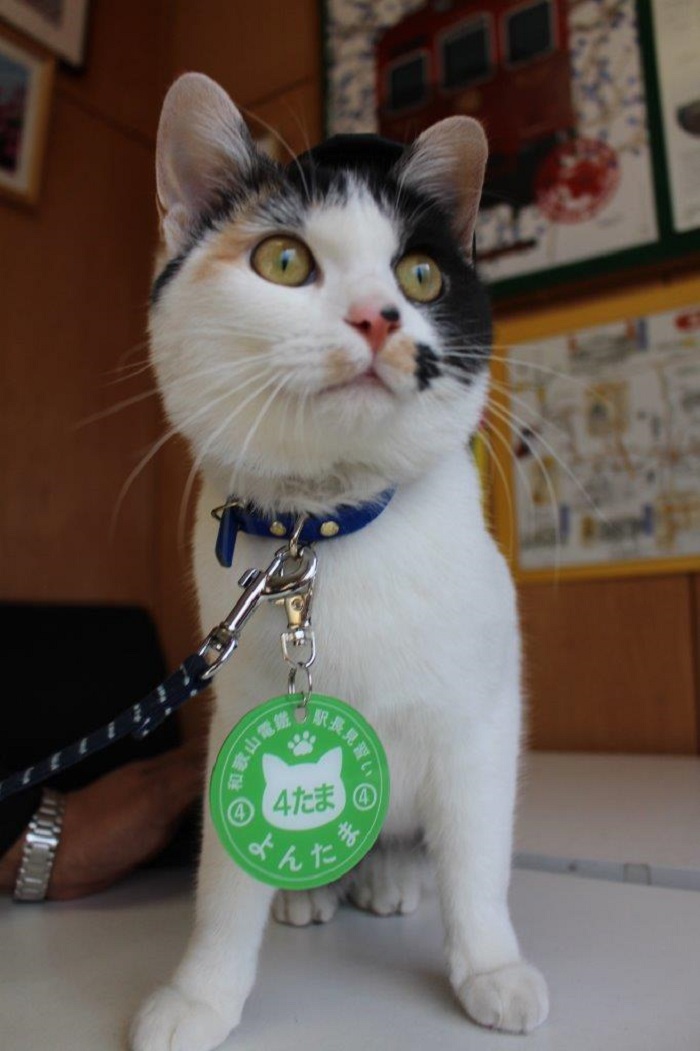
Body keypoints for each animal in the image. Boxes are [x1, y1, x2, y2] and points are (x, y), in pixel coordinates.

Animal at [129, 74, 546, 1051]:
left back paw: (387, 876)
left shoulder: (481, 716)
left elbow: (476, 859)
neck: (324, 533)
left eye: (421, 276)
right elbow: (223, 880)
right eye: (283, 261)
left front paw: (491, 967)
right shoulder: (239, 713)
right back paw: (312, 890)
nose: (376, 316)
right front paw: (200, 992)